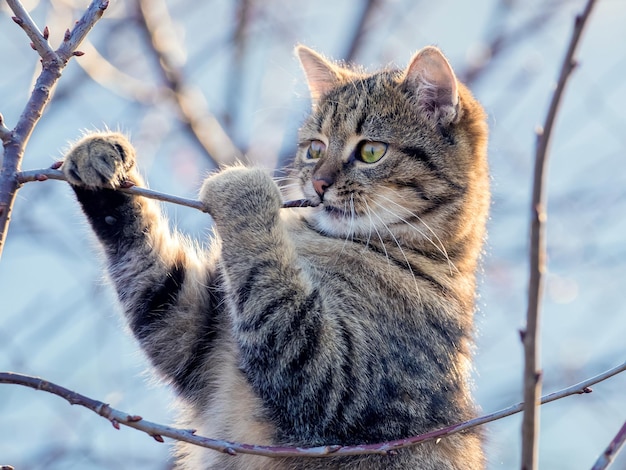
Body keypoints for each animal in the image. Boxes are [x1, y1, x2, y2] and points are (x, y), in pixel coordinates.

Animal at [61, 45, 488, 470]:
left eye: (371, 151)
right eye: (314, 148)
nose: (318, 183)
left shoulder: (336, 381)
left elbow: (278, 305)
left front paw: (244, 189)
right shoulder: (191, 332)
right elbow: (152, 277)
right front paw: (102, 161)